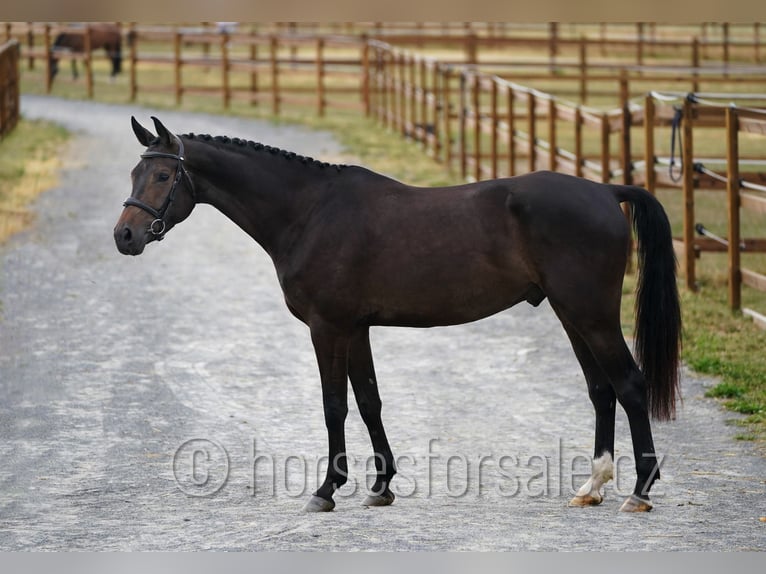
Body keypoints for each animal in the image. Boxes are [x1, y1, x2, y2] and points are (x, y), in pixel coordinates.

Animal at [114, 117, 682, 513]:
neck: (310, 212)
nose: (124, 236)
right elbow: (369, 402)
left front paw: (327, 489)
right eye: (134, 172)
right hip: (571, 313)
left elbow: (334, 406)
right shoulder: (357, 328)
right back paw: (593, 486)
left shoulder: (328, 327)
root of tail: (605, 190)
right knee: (601, 390)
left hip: (592, 314)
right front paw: (381, 486)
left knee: (630, 386)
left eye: (163, 174)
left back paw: (639, 491)